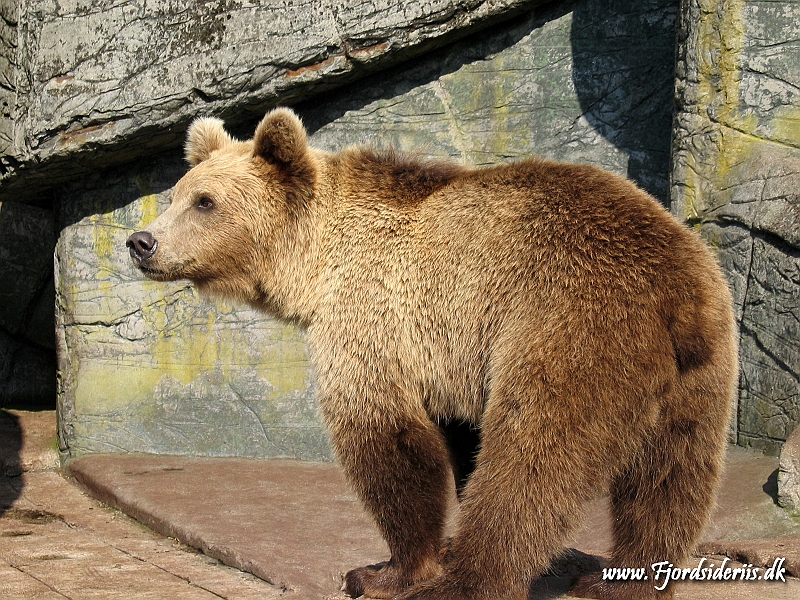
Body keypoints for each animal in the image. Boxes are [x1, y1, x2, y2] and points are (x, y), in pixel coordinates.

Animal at [130, 109, 736, 600]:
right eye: (177, 194)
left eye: (205, 202)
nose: (141, 242)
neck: (313, 264)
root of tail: (675, 294)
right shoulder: (451, 353)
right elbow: (458, 435)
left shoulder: (372, 316)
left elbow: (386, 440)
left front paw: (389, 571)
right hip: (700, 369)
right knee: (671, 477)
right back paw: (623, 579)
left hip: (569, 326)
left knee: (532, 459)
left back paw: (468, 581)